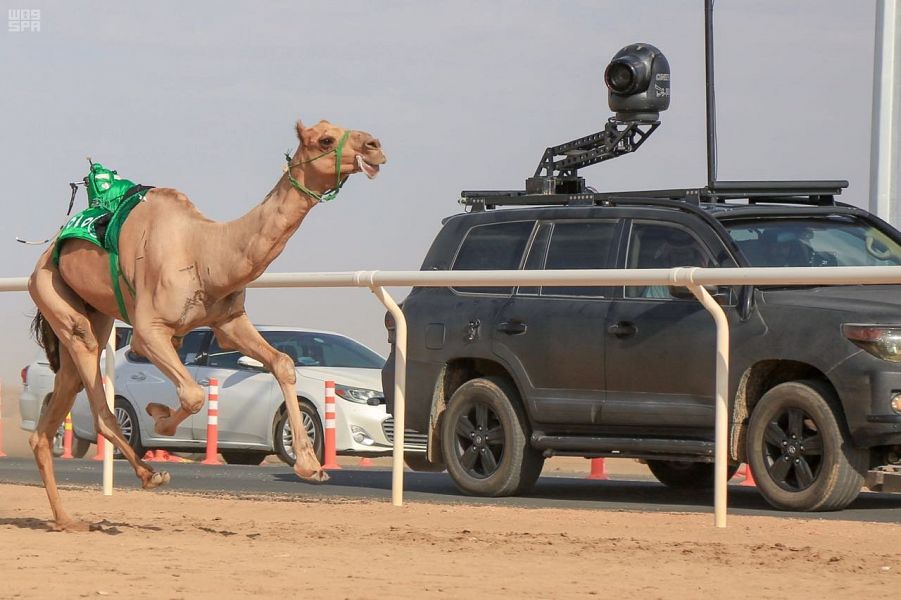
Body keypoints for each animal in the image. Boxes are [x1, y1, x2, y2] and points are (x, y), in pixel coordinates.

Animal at [27, 118, 386, 528]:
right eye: (325, 139)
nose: (375, 146)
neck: (205, 252)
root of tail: (46, 253)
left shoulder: (228, 321)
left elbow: (282, 363)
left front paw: (311, 466)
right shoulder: (148, 330)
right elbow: (195, 394)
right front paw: (159, 418)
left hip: (93, 314)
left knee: (53, 412)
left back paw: (67, 519)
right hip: (52, 291)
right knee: (98, 396)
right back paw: (150, 475)